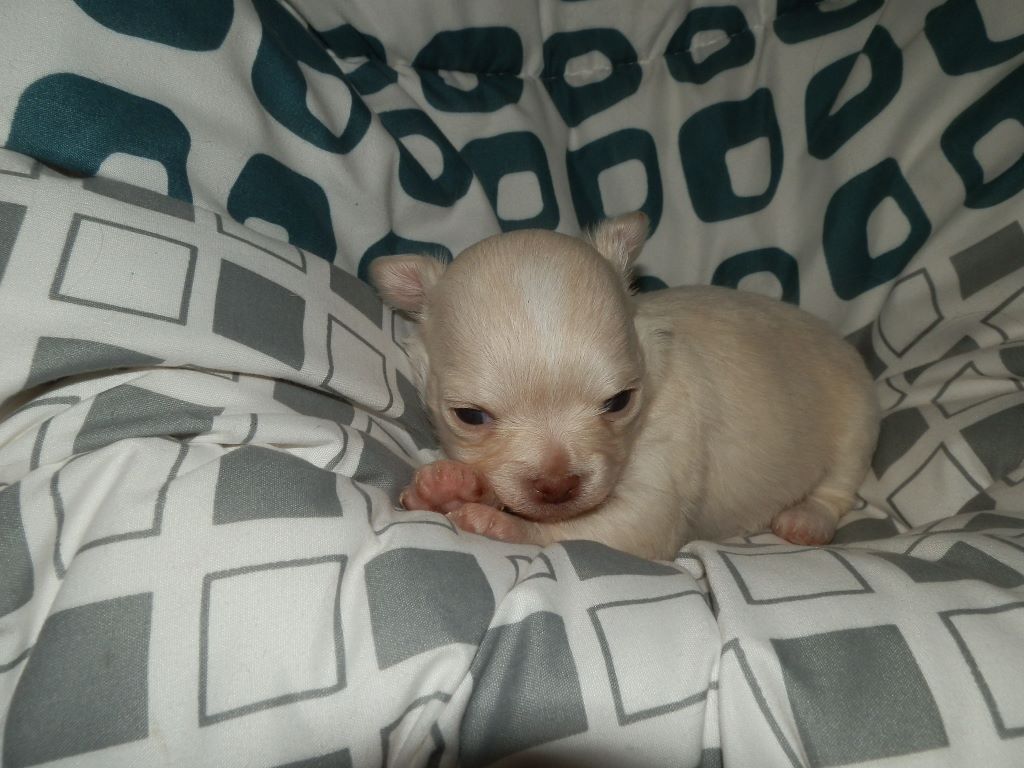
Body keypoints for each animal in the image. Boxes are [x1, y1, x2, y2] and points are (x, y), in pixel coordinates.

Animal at [370, 213, 879, 560]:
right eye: (470, 416)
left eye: (618, 402)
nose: (557, 485)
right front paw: (446, 490)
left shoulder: (651, 503)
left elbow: (572, 530)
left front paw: (500, 525)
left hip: (855, 414)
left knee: (839, 482)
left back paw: (806, 519)